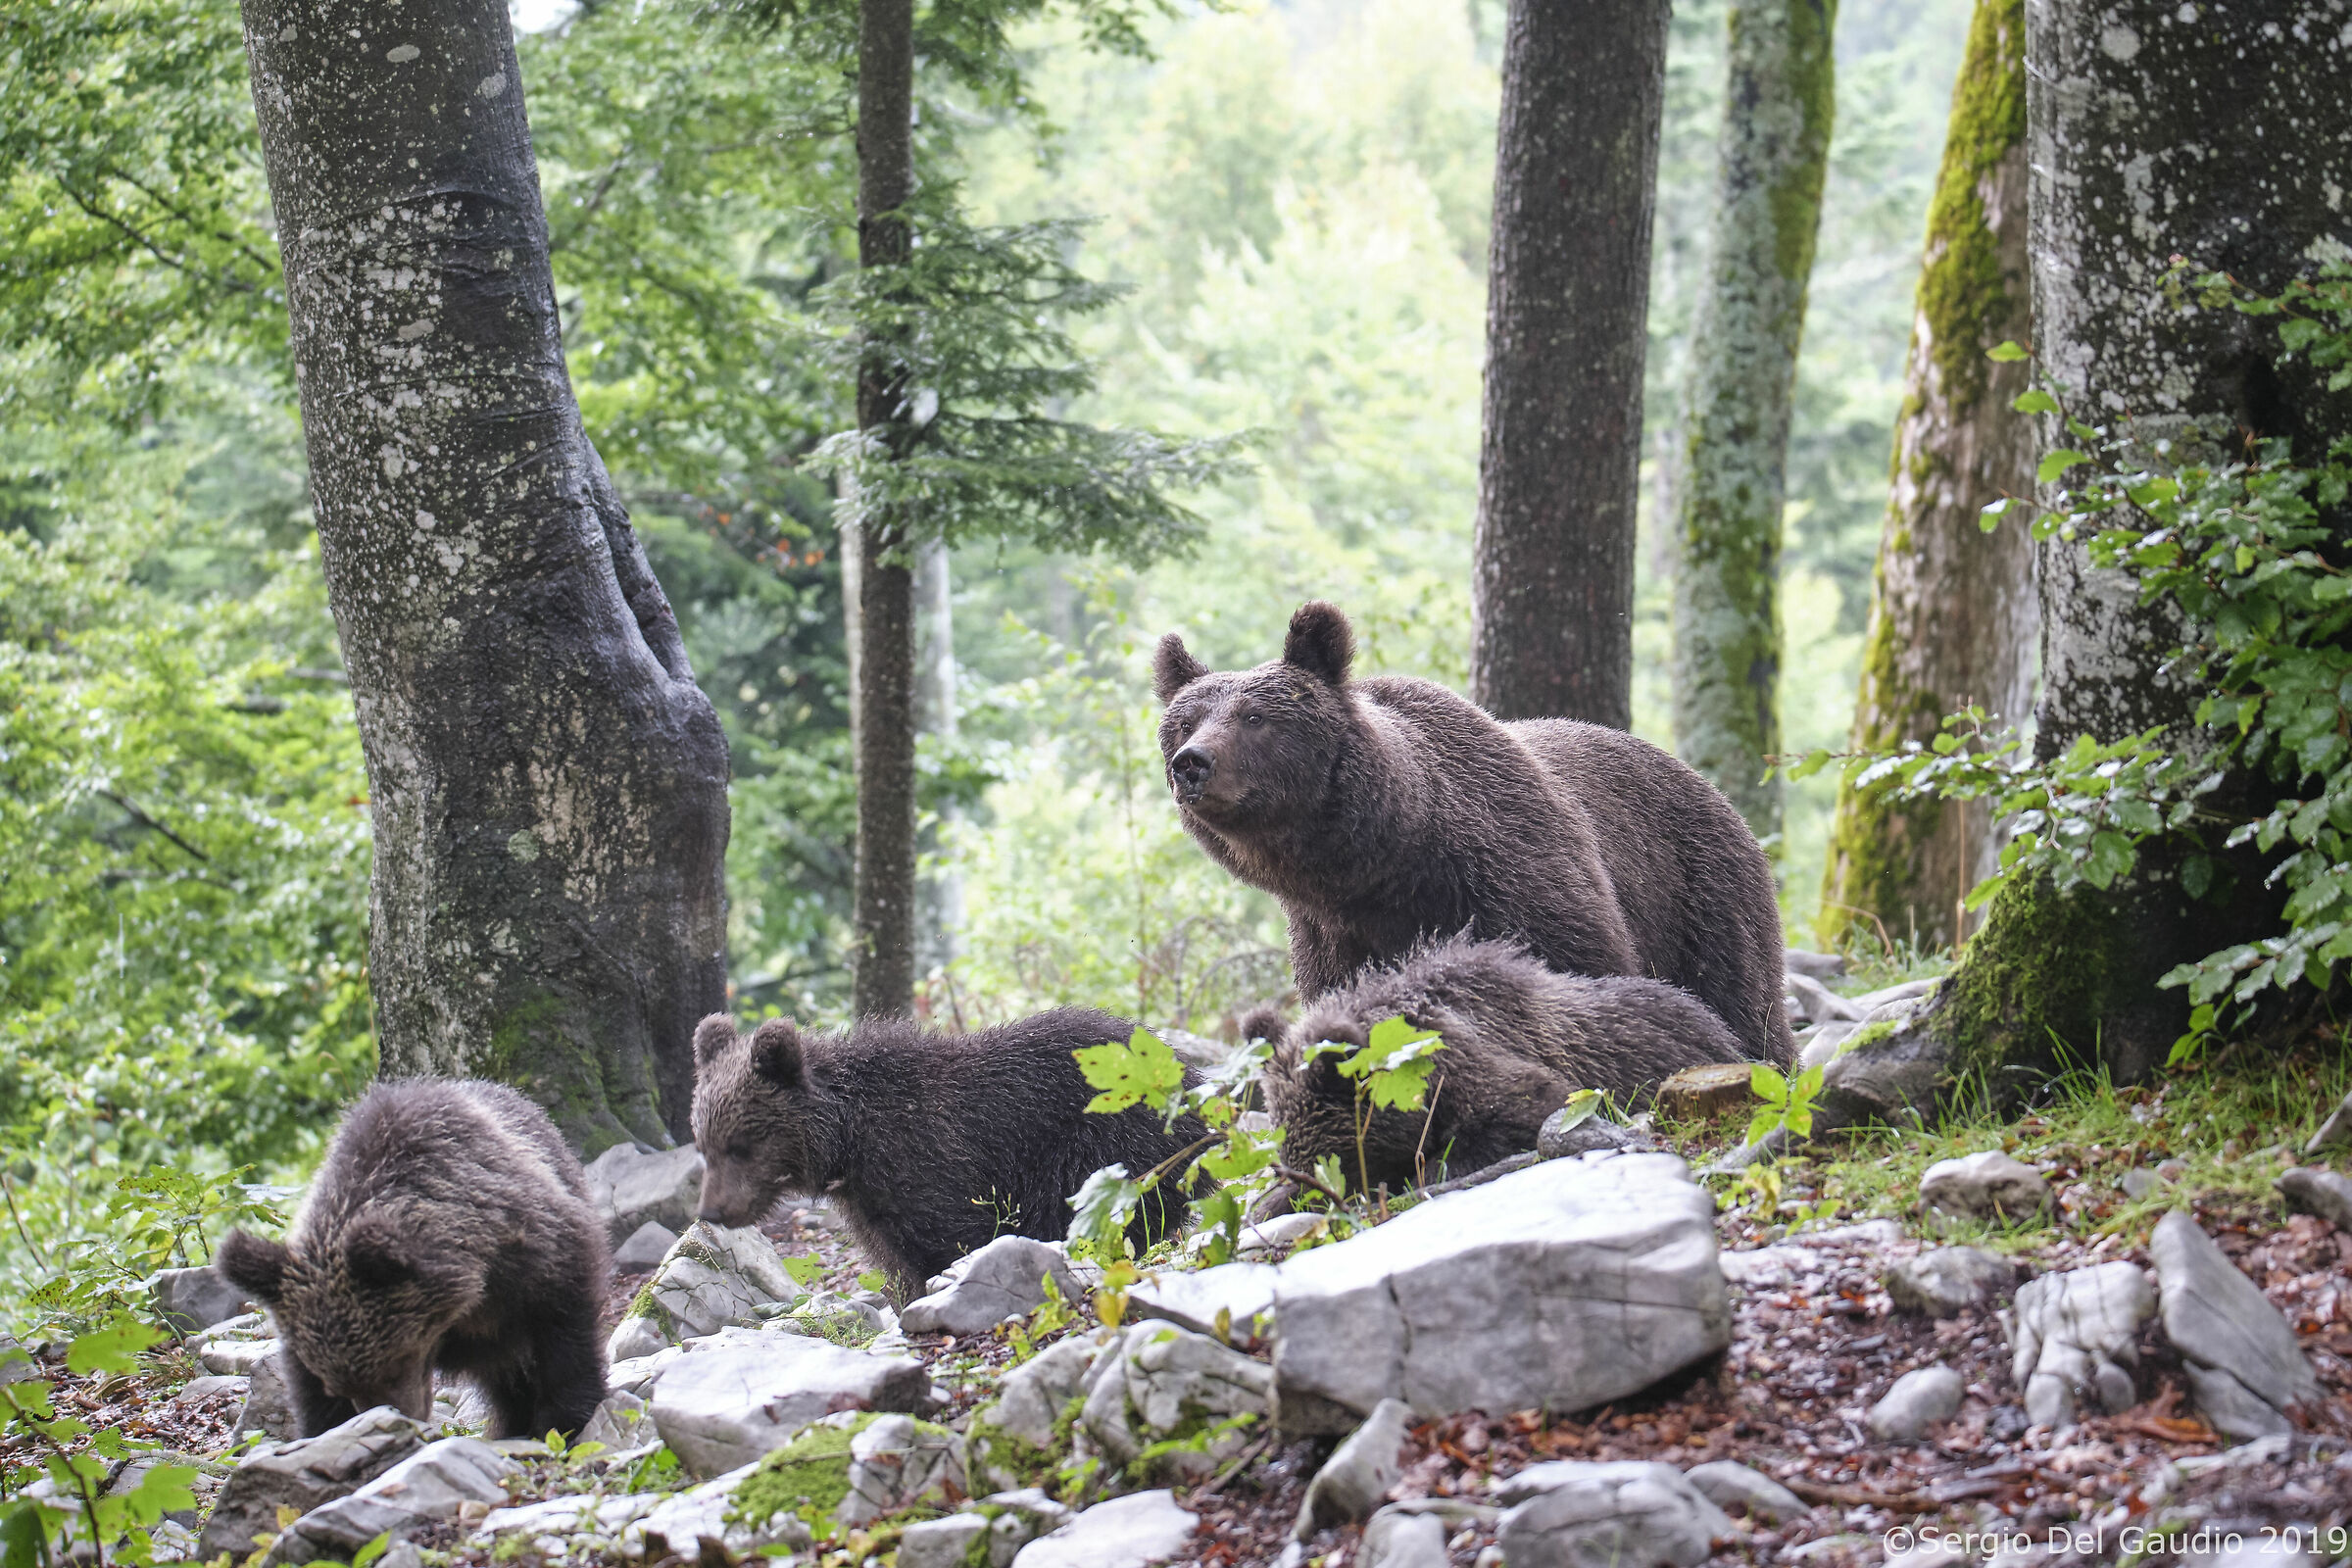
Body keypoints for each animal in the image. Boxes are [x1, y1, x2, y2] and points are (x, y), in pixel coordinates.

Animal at [215, 1078, 610, 1440]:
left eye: (395, 1363)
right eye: (339, 1385)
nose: (399, 1419)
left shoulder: (537, 1257)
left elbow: (563, 1333)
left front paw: (564, 1420)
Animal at [690, 1009, 1209, 1298]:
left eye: (741, 1146)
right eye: (705, 1144)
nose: (711, 1210)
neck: (849, 1141)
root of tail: (1191, 1075)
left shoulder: (929, 1160)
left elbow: (952, 1242)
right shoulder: (869, 1203)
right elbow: (899, 1265)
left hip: (1111, 1143)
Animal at [1154, 600, 1792, 1063]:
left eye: (1254, 717)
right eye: (1184, 721)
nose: (1191, 763)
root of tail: (1713, 790)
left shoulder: (1518, 873)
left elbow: (1584, 969)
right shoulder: (1334, 935)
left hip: (1701, 894)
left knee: (1743, 1001)